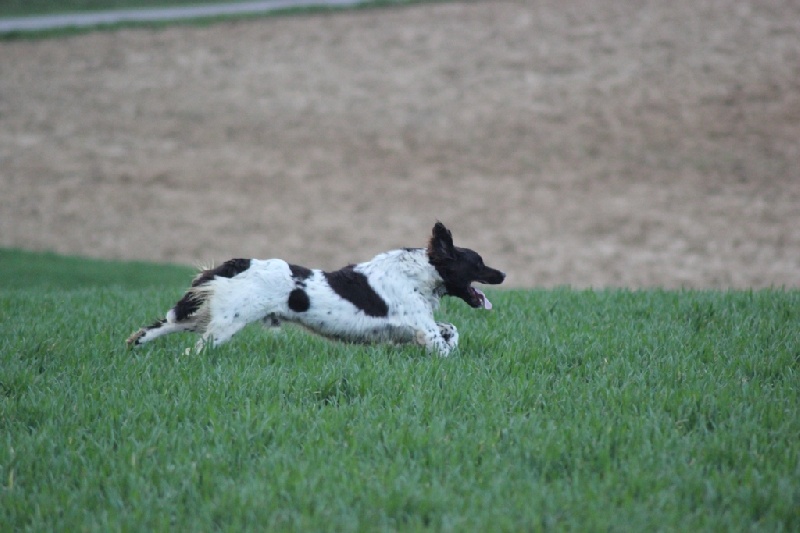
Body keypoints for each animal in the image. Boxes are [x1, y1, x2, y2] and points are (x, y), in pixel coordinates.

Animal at [127, 222, 504, 356]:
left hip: (203, 317)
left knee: (155, 327)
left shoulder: (417, 325)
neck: (420, 273)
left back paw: (133, 346)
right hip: (223, 325)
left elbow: (450, 329)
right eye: (478, 263)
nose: (502, 274)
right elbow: (445, 343)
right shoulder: (421, 326)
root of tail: (234, 264)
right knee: (192, 351)